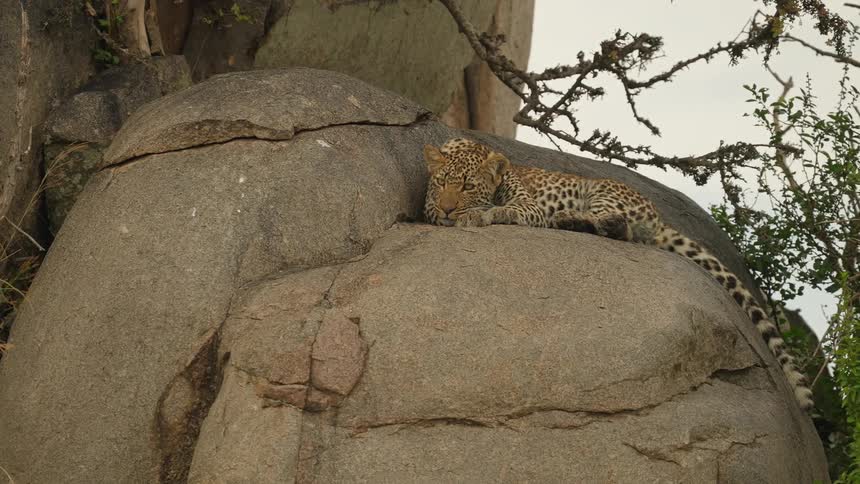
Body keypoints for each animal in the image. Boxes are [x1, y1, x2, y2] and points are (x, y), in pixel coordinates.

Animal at [423, 137, 814, 411]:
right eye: (441, 182)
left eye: (468, 186)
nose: (449, 208)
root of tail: (657, 216)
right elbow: (433, 207)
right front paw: (453, 213)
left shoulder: (529, 205)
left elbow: (508, 209)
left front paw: (477, 214)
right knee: (621, 231)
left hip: (602, 193)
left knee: (611, 222)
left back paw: (569, 219)